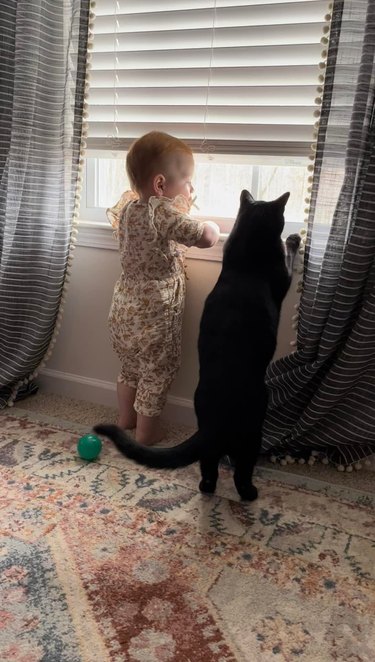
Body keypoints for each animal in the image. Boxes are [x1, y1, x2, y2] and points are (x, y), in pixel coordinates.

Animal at [95, 192, 302, 504]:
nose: (291, 230)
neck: (248, 254)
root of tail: (212, 425)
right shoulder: (282, 275)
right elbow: (288, 259)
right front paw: (294, 238)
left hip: (211, 445)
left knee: (207, 474)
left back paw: (208, 489)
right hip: (253, 432)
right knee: (241, 472)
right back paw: (250, 494)